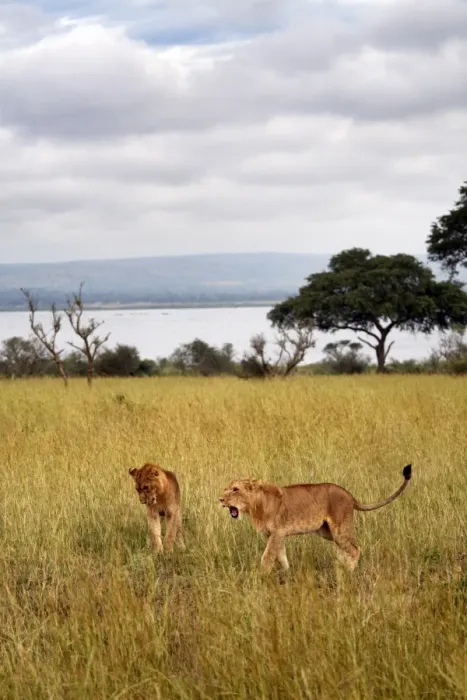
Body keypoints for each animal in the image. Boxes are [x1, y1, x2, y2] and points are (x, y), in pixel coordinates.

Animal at [219, 464, 412, 573]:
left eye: (235, 489)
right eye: (226, 489)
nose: (220, 499)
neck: (255, 506)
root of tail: (349, 495)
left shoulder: (277, 532)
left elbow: (267, 557)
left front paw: (262, 576)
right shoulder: (274, 535)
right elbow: (281, 555)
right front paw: (287, 573)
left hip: (340, 528)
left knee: (355, 549)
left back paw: (348, 573)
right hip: (327, 531)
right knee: (344, 549)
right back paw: (341, 567)